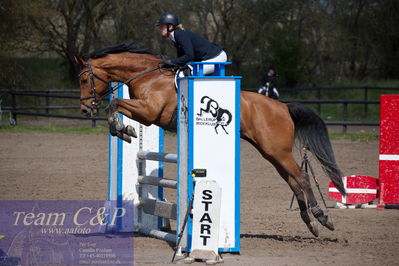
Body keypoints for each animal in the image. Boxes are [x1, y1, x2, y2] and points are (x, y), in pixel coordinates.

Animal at [75, 41, 346, 237]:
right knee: (293, 181)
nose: (85, 110)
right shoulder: (145, 113)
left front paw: (122, 129)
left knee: (302, 178)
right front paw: (124, 131)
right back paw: (311, 224)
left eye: (84, 79)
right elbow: (116, 106)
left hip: (278, 151)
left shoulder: (149, 112)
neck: (146, 75)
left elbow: (114, 104)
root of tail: (283, 106)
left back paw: (322, 216)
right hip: (271, 153)